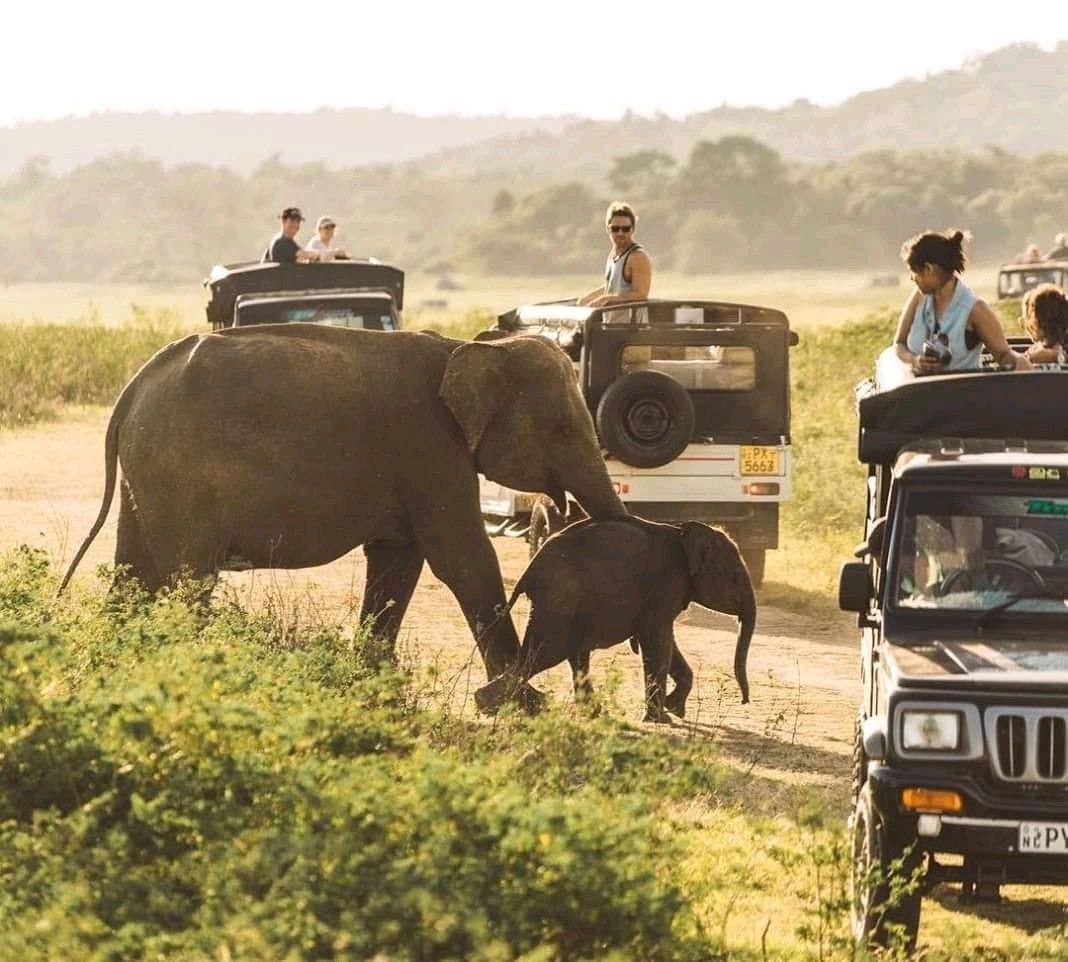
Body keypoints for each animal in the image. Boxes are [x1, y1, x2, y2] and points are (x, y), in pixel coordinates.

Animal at [59, 325, 626, 685]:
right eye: (562, 429)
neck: (472, 346)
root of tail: (134, 386)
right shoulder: (429, 447)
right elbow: (462, 559)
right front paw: (519, 703)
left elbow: (398, 560)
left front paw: (376, 683)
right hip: (178, 472)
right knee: (188, 576)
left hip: (147, 473)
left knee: (134, 570)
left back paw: (115, 667)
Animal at [474, 516, 756, 722]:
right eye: (735, 577)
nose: (744, 701)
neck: (685, 534)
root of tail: (528, 571)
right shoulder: (666, 584)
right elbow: (657, 638)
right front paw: (661, 719)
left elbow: (662, 639)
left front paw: (673, 710)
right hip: (558, 600)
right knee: (543, 654)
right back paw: (488, 705)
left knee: (571, 655)